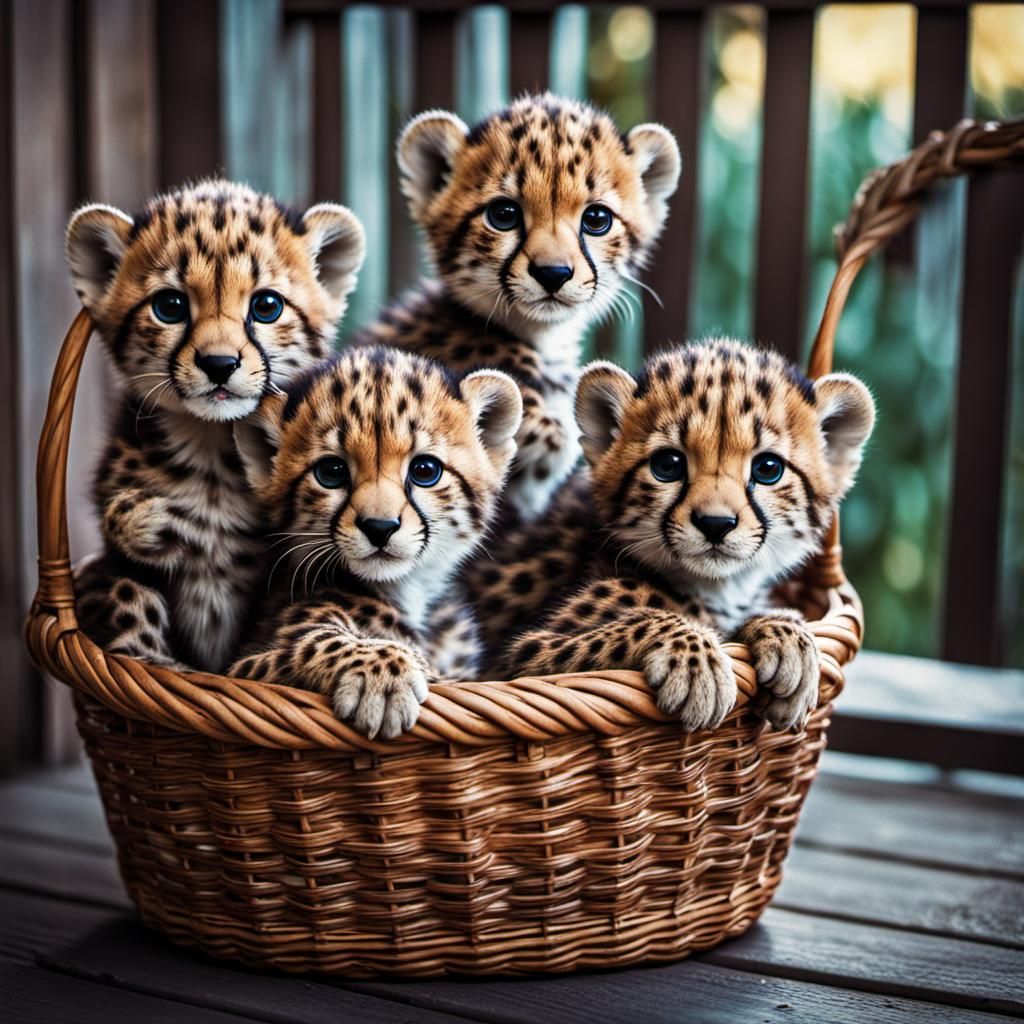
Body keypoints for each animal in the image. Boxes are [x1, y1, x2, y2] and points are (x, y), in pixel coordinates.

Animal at [66, 179, 366, 672]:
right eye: (170, 306)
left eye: (267, 306)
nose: (219, 364)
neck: (211, 453)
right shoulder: (112, 561)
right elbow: (127, 586)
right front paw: (147, 523)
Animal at [227, 346, 522, 739]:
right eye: (331, 472)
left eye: (425, 471)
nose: (379, 527)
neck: (408, 593)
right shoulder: (240, 668)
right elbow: (312, 640)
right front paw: (381, 671)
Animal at [470, 339, 875, 731]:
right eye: (668, 465)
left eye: (768, 468)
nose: (715, 523)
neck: (715, 589)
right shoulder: (517, 662)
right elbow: (648, 621)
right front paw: (697, 659)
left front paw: (788, 633)